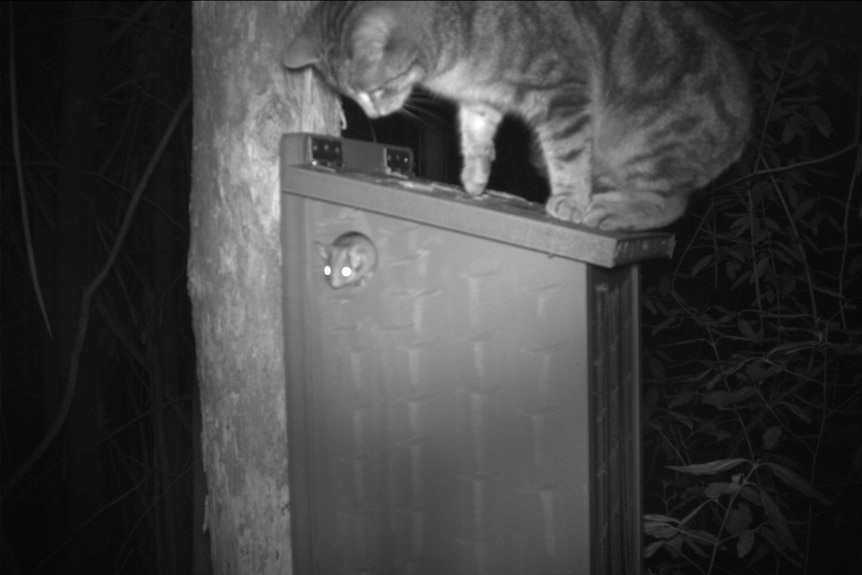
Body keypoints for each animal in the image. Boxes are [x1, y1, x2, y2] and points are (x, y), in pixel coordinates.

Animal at [284, 2, 748, 232]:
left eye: (375, 89)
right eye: (350, 96)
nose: (373, 112)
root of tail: (742, 132)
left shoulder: (564, 90)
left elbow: (568, 156)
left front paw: (570, 198)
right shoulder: (481, 96)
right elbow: (475, 136)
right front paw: (474, 178)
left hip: (646, 138)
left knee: (670, 202)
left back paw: (609, 210)